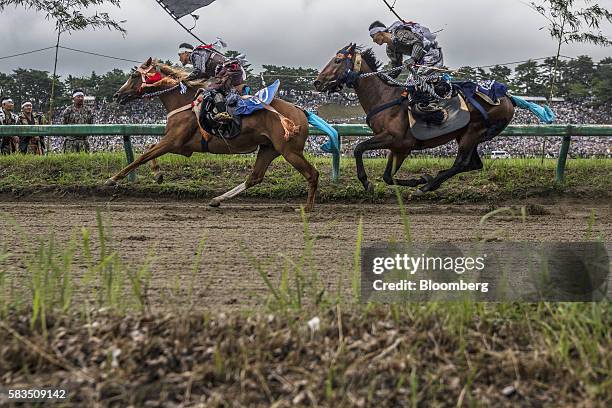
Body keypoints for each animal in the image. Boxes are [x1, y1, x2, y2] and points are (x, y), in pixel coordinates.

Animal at [111, 58, 320, 210]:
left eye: (134, 75)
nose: (117, 95)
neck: (184, 101)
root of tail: (300, 110)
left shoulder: (173, 141)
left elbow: (143, 156)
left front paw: (112, 179)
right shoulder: (182, 147)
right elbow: (150, 148)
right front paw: (157, 174)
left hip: (290, 151)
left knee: (313, 174)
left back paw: (307, 208)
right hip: (269, 148)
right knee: (255, 177)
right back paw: (217, 199)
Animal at [316, 43, 516, 194]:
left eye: (337, 60)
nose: (317, 82)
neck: (384, 98)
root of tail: (507, 99)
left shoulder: (393, 138)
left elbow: (358, 148)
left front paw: (366, 182)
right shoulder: (399, 148)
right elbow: (387, 177)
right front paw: (418, 179)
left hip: (473, 132)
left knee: (461, 163)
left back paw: (429, 185)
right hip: (466, 135)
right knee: (473, 164)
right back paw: (431, 181)